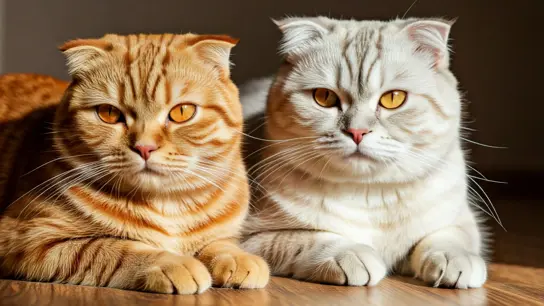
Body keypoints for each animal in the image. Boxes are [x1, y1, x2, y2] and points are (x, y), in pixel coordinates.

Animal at [0, 33, 268, 294]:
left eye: (182, 112)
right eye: (109, 113)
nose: (144, 147)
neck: (168, 205)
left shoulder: (224, 233)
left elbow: (220, 243)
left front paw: (238, 257)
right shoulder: (29, 237)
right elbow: (113, 248)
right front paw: (172, 262)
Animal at [240, 17, 486, 290]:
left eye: (394, 98)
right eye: (324, 97)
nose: (357, 131)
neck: (370, 194)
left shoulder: (462, 219)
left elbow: (449, 236)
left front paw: (455, 259)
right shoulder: (252, 238)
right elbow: (309, 238)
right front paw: (351, 254)